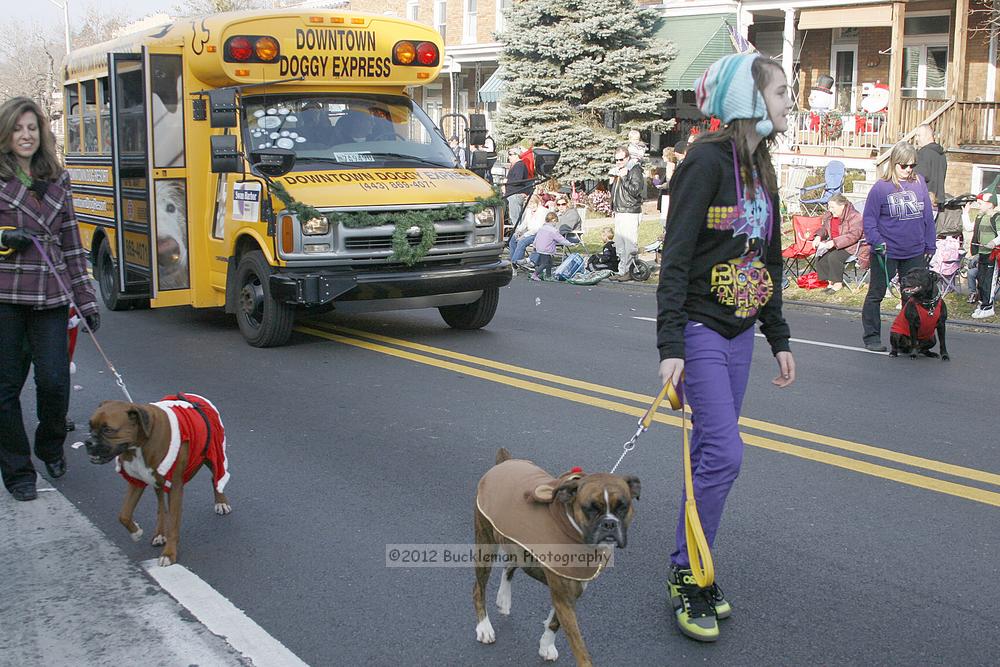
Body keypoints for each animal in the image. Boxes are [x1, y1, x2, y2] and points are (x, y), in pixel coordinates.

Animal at [83, 394, 230, 568]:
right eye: (90, 426)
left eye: (108, 430)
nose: (88, 442)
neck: (140, 443)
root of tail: (193, 395)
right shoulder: (136, 483)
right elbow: (124, 514)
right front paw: (136, 532)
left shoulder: (175, 487)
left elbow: (173, 523)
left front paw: (169, 554)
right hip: (157, 481)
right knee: (161, 506)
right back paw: (159, 534)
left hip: (212, 452)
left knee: (217, 477)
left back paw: (221, 502)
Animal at [474, 448, 640, 667]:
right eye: (591, 508)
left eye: (623, 507)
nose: (609, 523)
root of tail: (505, 462)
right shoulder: (563, 594)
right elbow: (578, 645)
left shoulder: (572, 589)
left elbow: (555, 623)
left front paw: (546, 646)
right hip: (485, 545)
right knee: (479, 588)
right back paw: (484, 627)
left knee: (510, 565)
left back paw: (504, 599)